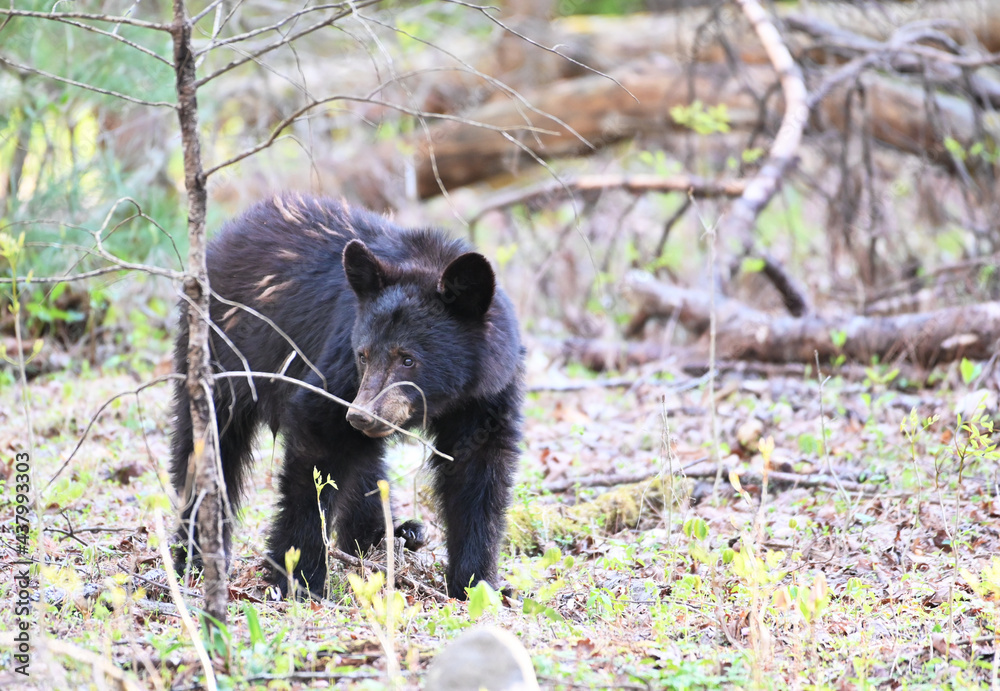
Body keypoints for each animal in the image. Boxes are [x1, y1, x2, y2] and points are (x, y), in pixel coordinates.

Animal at [169, 192, 524, 596]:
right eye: (363, 354)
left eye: (408, 359)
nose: (361, 415)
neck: (449, 397)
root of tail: (226, 234)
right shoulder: (341, 367)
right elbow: (318, 448)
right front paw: (298, 576)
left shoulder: (486, 396)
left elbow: (476, 476)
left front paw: (475, 583)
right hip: (219, 352)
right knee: (210, 445)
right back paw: (195, 556)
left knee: (367, 465)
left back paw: (389, 538)